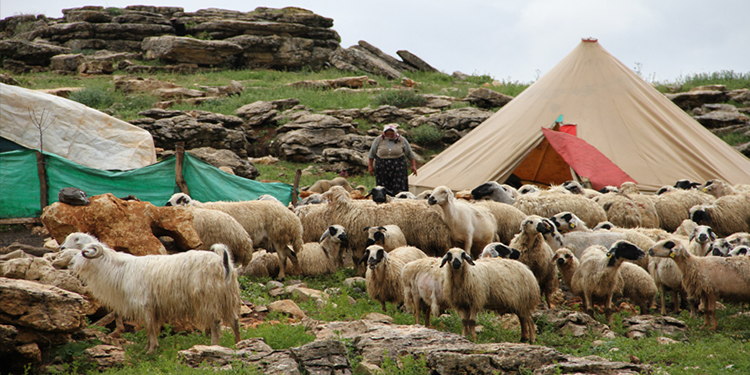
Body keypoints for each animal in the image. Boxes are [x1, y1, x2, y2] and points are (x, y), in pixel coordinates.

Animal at [70, 241, 241, 352]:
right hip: (228, 297)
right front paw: (148, 347)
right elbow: (150, 327)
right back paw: (238, 344)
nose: (71, 262)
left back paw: (214, 346)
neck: (122, 270)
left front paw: (151, 349)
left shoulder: (145, 304)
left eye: (83, 253)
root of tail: (223, 261)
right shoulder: (153, 307)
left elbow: (149, 327)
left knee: (216, 322)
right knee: (234, 320)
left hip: (210, 298)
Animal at [166, 192, 304, 280]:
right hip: (278, 239)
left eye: (178, 200)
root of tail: (294, 220)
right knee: (292, 254)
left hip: (277, 236)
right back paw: (298, 273)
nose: (165, 206)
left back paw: (281, 277)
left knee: (282, 257)